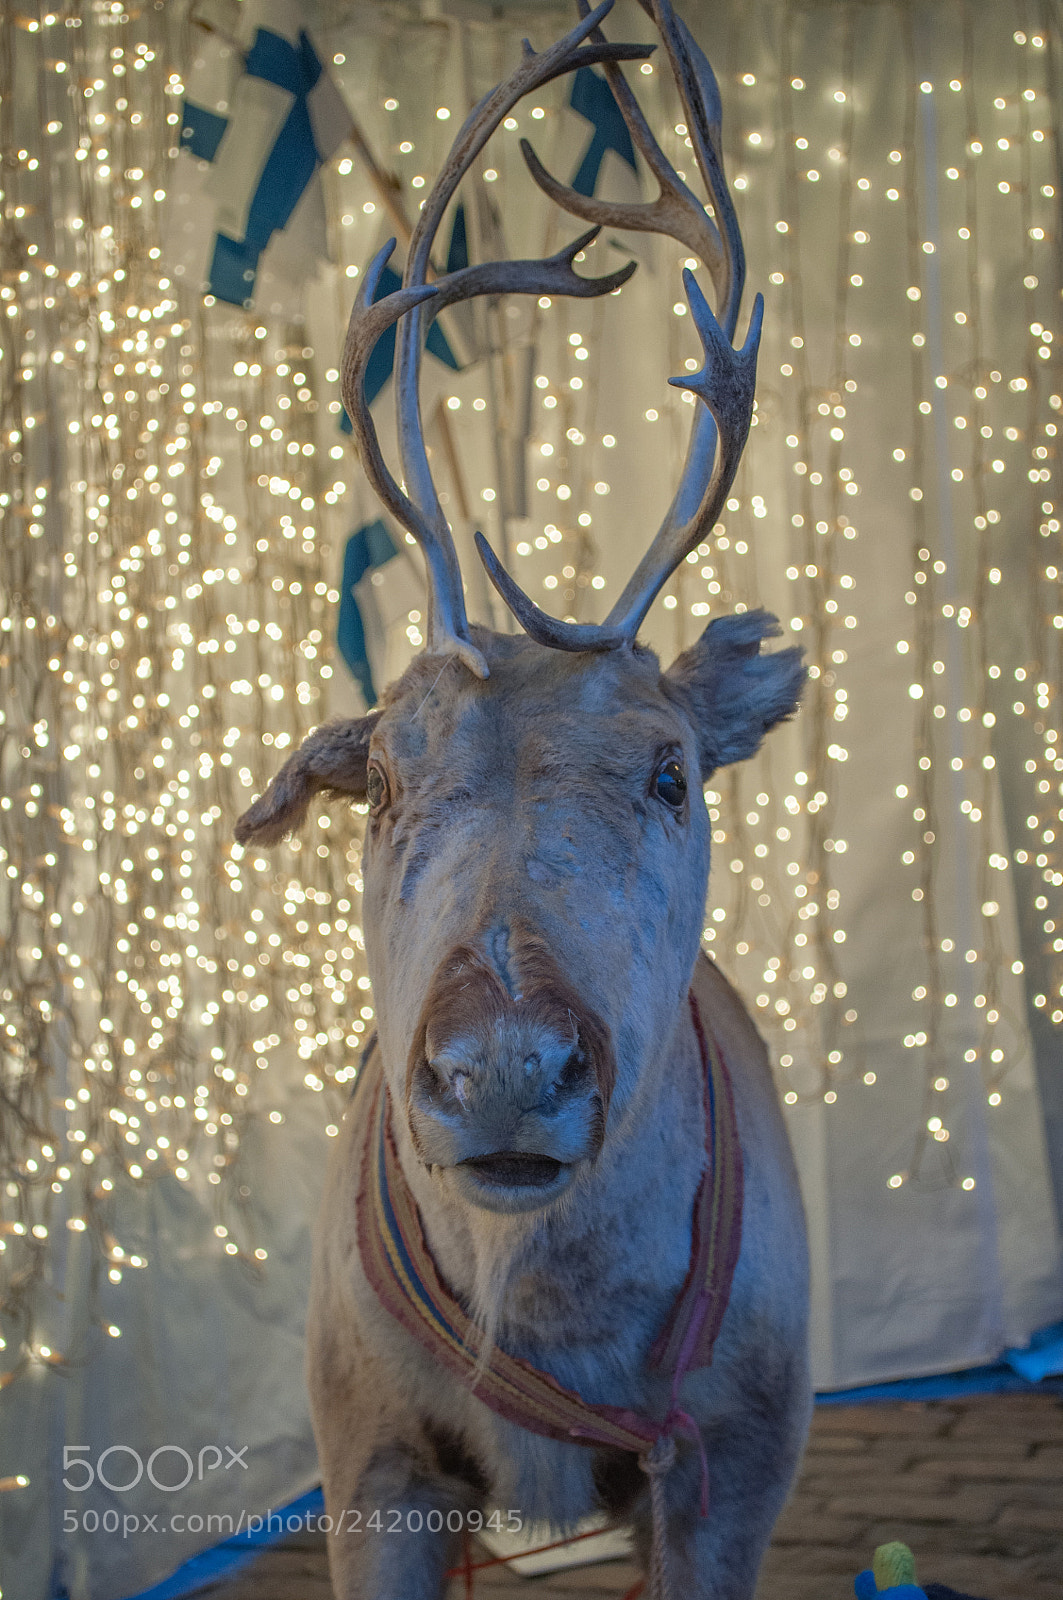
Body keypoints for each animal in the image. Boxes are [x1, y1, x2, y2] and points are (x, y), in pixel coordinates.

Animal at [235, 3, 810, 1596]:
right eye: (376, 774)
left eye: (670, 771)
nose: (500, 1067)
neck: (539, 1325)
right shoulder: (363, 1455)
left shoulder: (740, 1452)